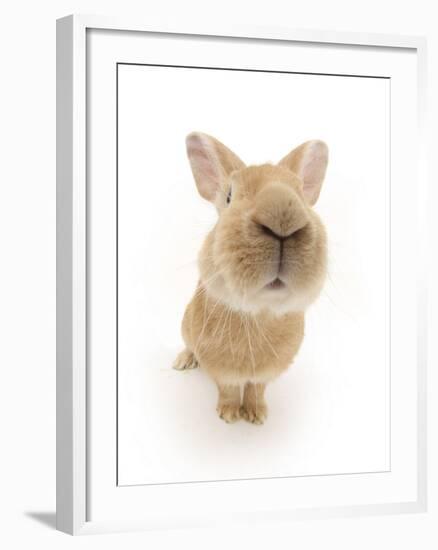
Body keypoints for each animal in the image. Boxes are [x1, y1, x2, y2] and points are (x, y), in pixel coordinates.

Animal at [173, 133, 326, 426]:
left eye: (300, 194)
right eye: (229, 196)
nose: (282, 215)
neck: (258, 312)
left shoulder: (267, 372)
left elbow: (256, 389)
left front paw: (257, 415)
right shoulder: (222, 370)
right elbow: (229, 389)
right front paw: (229, 415)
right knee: (188, 346)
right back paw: (183, 362)